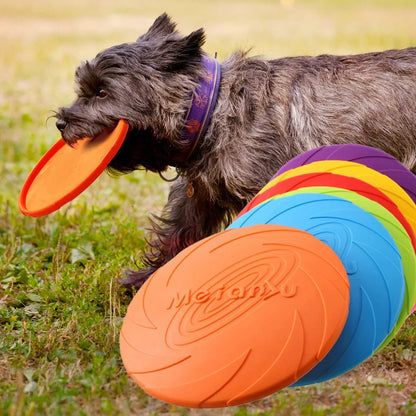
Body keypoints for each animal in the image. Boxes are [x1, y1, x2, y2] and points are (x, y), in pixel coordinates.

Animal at [54, 13, 416, 290]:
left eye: (102, 92)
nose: (60, 122)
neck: (212, 110)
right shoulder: (198, 196)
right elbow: (177, 236)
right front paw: (146, 281)